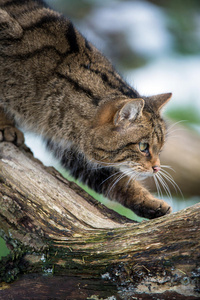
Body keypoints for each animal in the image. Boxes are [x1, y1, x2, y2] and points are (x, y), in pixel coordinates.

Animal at [0, 0, 172, 220]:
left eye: (160, 148)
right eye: (143, 147)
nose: (157, 168)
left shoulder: (74, 150)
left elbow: (118, 181)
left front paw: (149, 202)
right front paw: (5, 125)